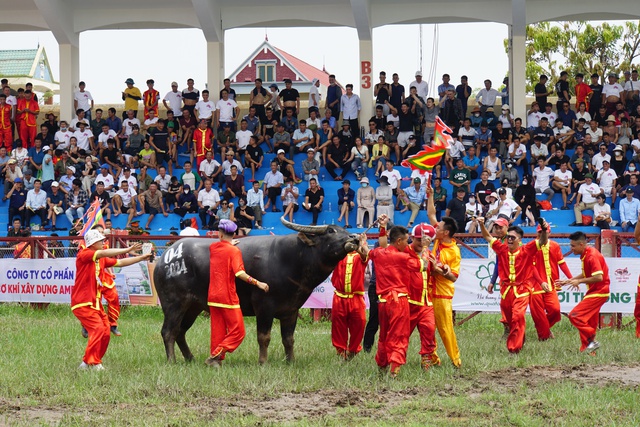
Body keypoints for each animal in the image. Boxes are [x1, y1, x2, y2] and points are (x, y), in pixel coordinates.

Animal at [152, 221, 358, 364]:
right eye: (331, 231)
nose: (355, 238)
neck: (292, 259)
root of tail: (164, 258)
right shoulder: (264, 307)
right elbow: (264, 337)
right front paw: (263, 362)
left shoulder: (291, 310)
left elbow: (288, 339)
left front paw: (291, 361)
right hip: (174, 304)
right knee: (168, 331)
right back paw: (172, 360)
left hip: (192, 307)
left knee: (180, 332)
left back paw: (191, 358)